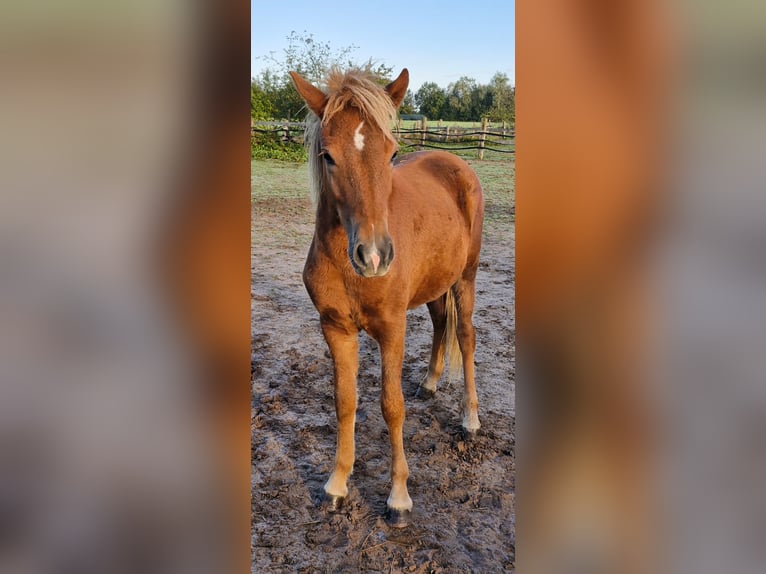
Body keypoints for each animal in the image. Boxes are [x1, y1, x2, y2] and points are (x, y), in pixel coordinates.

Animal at [290, 68, 486, 532]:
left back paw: (470, 419)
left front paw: (398, 498)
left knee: (466, 337)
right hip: (436, 286)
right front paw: (336, 485)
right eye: (327, 155)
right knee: (440, 324)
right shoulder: (335, 329)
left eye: (392, 150)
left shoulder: (392, 328)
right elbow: (345, 402)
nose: (374, 255)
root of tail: (457, 165)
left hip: (465, 279)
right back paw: (430, 383)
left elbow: (391, 406)